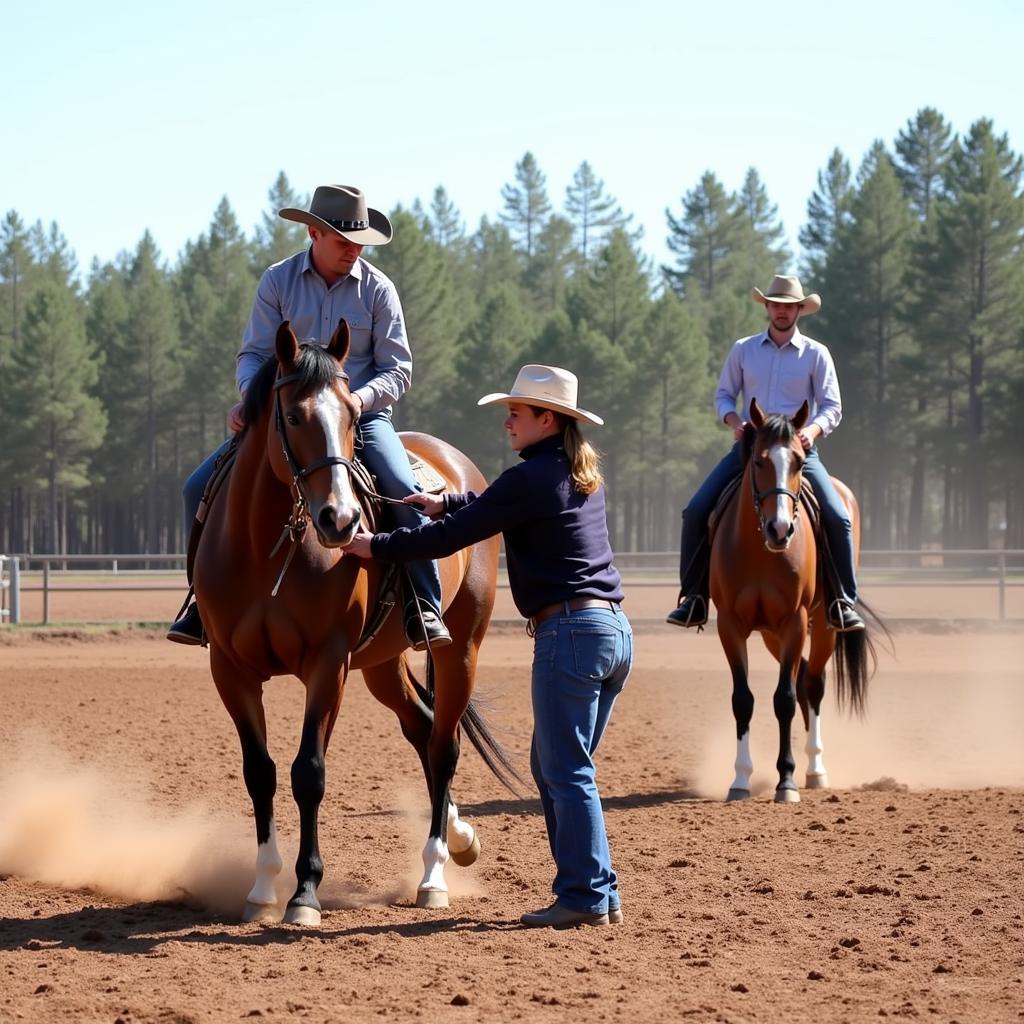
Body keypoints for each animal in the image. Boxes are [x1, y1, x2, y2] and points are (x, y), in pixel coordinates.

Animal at [192, 319, 516, 929]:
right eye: (294, 416)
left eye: (349, 414)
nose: (340, 520)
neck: (266, 548)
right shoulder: (230, 669)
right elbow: (260, 772)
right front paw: (262, 887)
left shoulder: (328, 664)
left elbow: (309, 772)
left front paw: (304, 892)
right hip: (382, 665)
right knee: (422, 726)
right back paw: (460, 835)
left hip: (460, 647)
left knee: (444, 744)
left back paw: (435, 873)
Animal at [708, 395, 876, 802]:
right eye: (759, 461)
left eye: (799, 461)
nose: (780, 528)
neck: (760, 553)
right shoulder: (730, 626)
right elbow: (743, 699)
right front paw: (740, 779)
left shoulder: (795, 621)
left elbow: (783, 698)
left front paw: (786, 781)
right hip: (771, 635)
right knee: (803, 681)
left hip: (824, 626)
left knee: (812, 685)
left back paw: (815, 770)